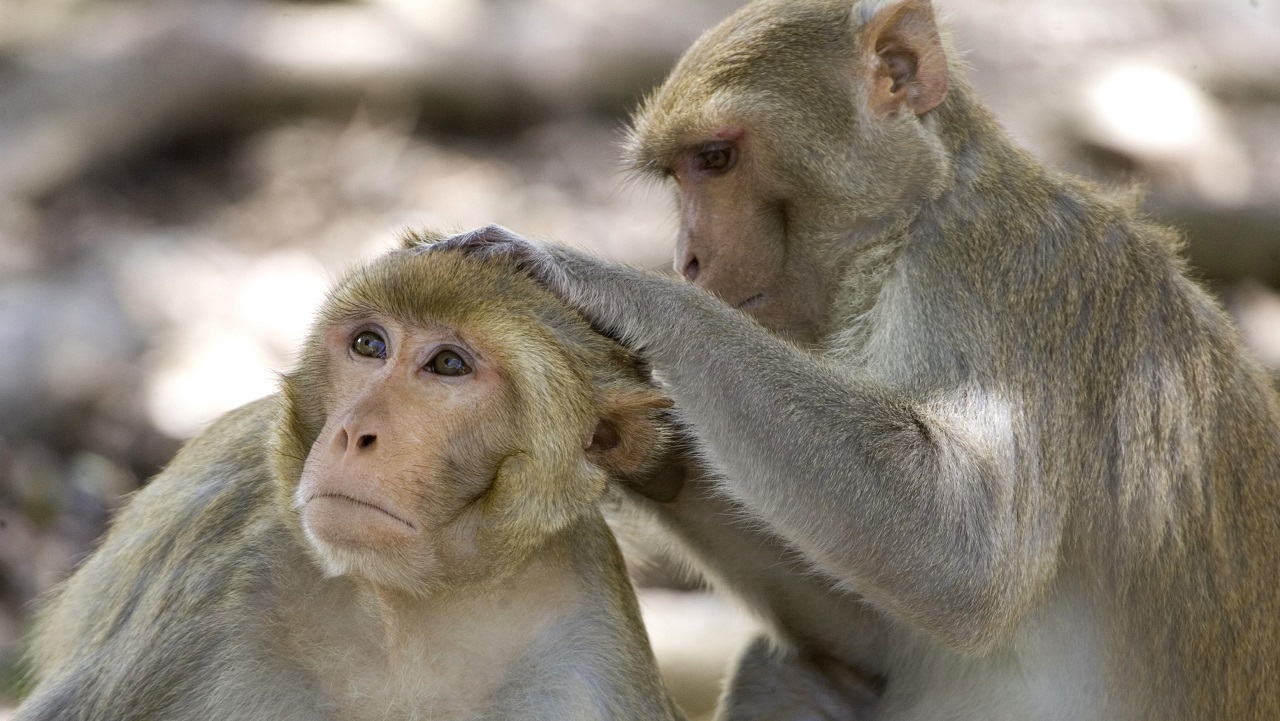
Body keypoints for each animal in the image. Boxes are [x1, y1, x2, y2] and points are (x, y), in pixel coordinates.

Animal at [12, 233, 691, 721]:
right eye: (370, 345)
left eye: (449, 364)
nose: (353, 432)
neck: (412, 609)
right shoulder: (218, 572)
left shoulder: (587, 647)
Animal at [427, 1, 1280, 721]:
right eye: (681, 172)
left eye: (715, 158)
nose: (688, 259)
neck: (908, 226)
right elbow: (872, 633)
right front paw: (634, 444)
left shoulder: (997, 277)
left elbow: (965, 552)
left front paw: (608, 287)